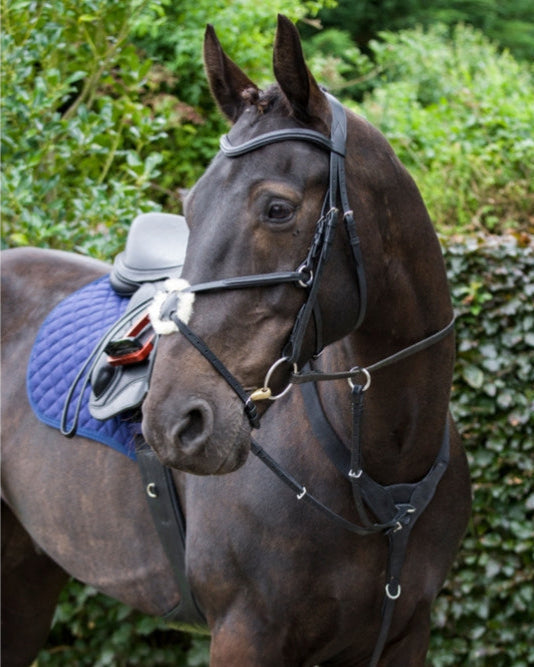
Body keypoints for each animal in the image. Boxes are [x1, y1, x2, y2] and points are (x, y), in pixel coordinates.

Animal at [1, 15, 471, 667]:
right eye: (190, 208)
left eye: (277, 209)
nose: (174, 422)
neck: (381, 469)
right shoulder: (247, 635)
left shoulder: (406, 635)